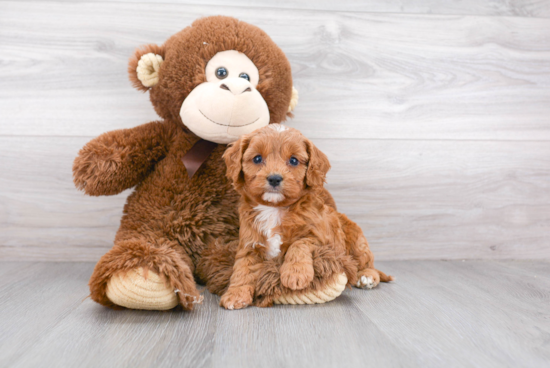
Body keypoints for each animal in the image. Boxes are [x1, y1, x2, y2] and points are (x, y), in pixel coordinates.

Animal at [220, 125, 392, 310]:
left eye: (294, 161)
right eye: (257, 158)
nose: (274, 178)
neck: (274, 209)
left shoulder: (322, 240)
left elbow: (299, 243)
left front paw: (296, 274)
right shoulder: (249, 245)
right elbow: (242, 268)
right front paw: (235, 294)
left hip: (356, 241)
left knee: (367, 262)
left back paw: (367, 276)